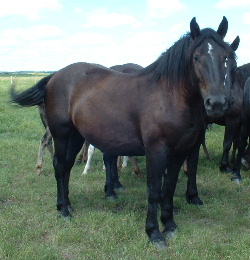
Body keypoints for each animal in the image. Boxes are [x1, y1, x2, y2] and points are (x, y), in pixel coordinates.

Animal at [11, 17, 238, 249]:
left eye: (226, 56)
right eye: (196, 57)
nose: (217, 103)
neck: (168, 97)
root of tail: (54, 76)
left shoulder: (179, 152)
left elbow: (169, 188)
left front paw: (170, 224)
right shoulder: (156, 151)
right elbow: (154, 190)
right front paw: (154, 233)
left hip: (76, 136)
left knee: (66, 167)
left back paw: (67, 205)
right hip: (62, 134)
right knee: (59, 166)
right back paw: (64, 210)